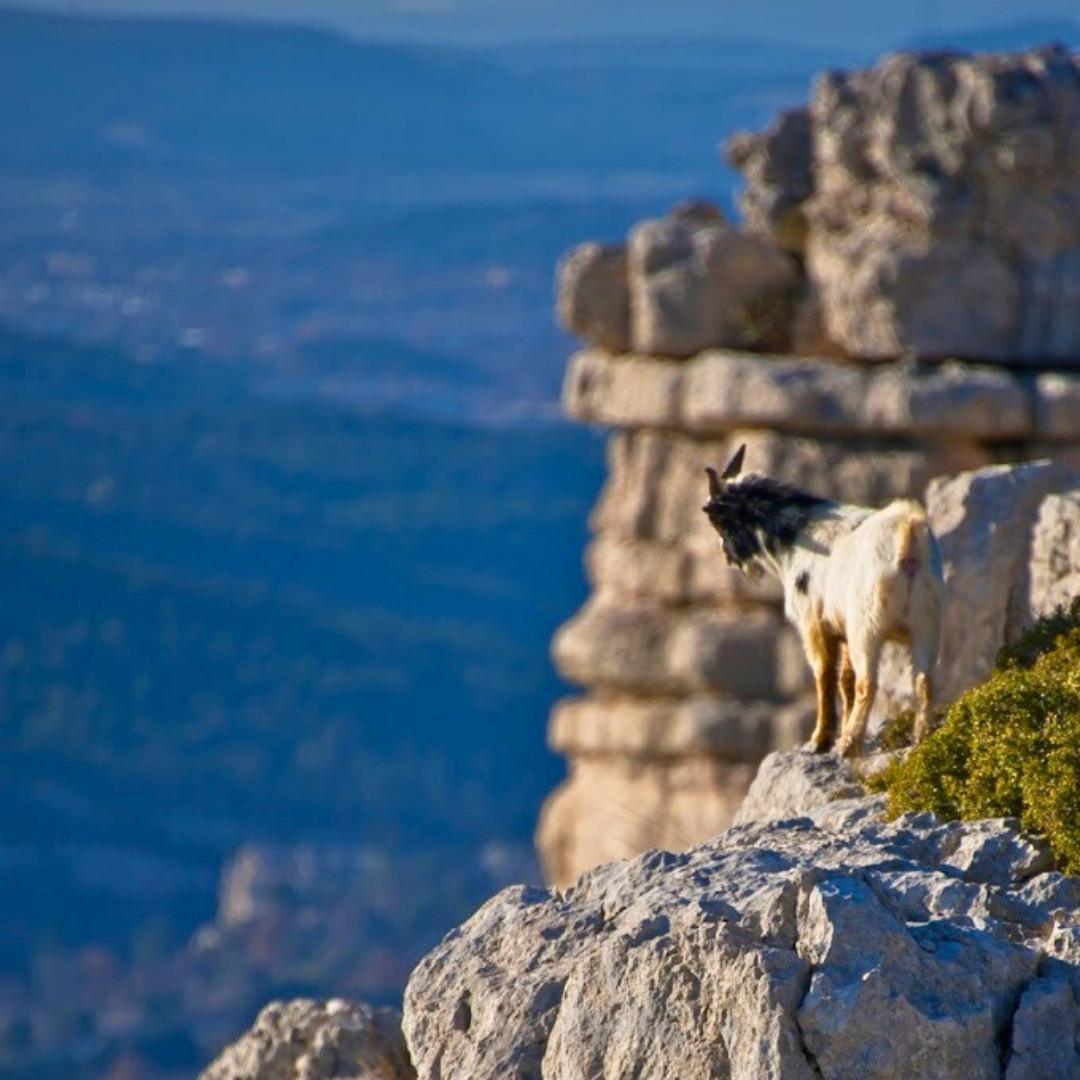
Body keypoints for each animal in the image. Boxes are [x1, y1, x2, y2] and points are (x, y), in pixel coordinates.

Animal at [704, 442, 941, 756]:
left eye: (719, 521)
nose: (727, 557)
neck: (797, 535)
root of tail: (907, 536)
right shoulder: (842, 630)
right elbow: (845, 680)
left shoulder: (813, 624)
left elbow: (825, 675)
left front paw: (820, 741)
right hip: (926, 625)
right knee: (923, 680)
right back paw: (920, 737)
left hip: (868, 628)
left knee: (869, 683)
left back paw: (850, 744)